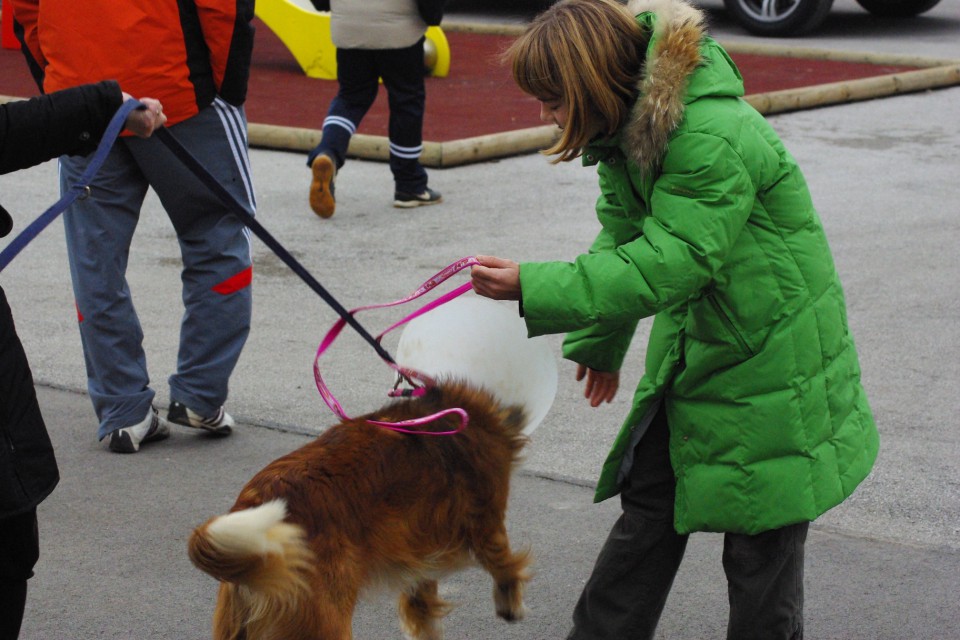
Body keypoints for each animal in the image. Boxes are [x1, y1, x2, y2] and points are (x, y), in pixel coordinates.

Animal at [188, 382, 532, 636]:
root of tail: (253, 499)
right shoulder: (486, 519)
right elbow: (504, 562)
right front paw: (510, 604)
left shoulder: (420, 551)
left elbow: (422, 606)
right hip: (325, 619)